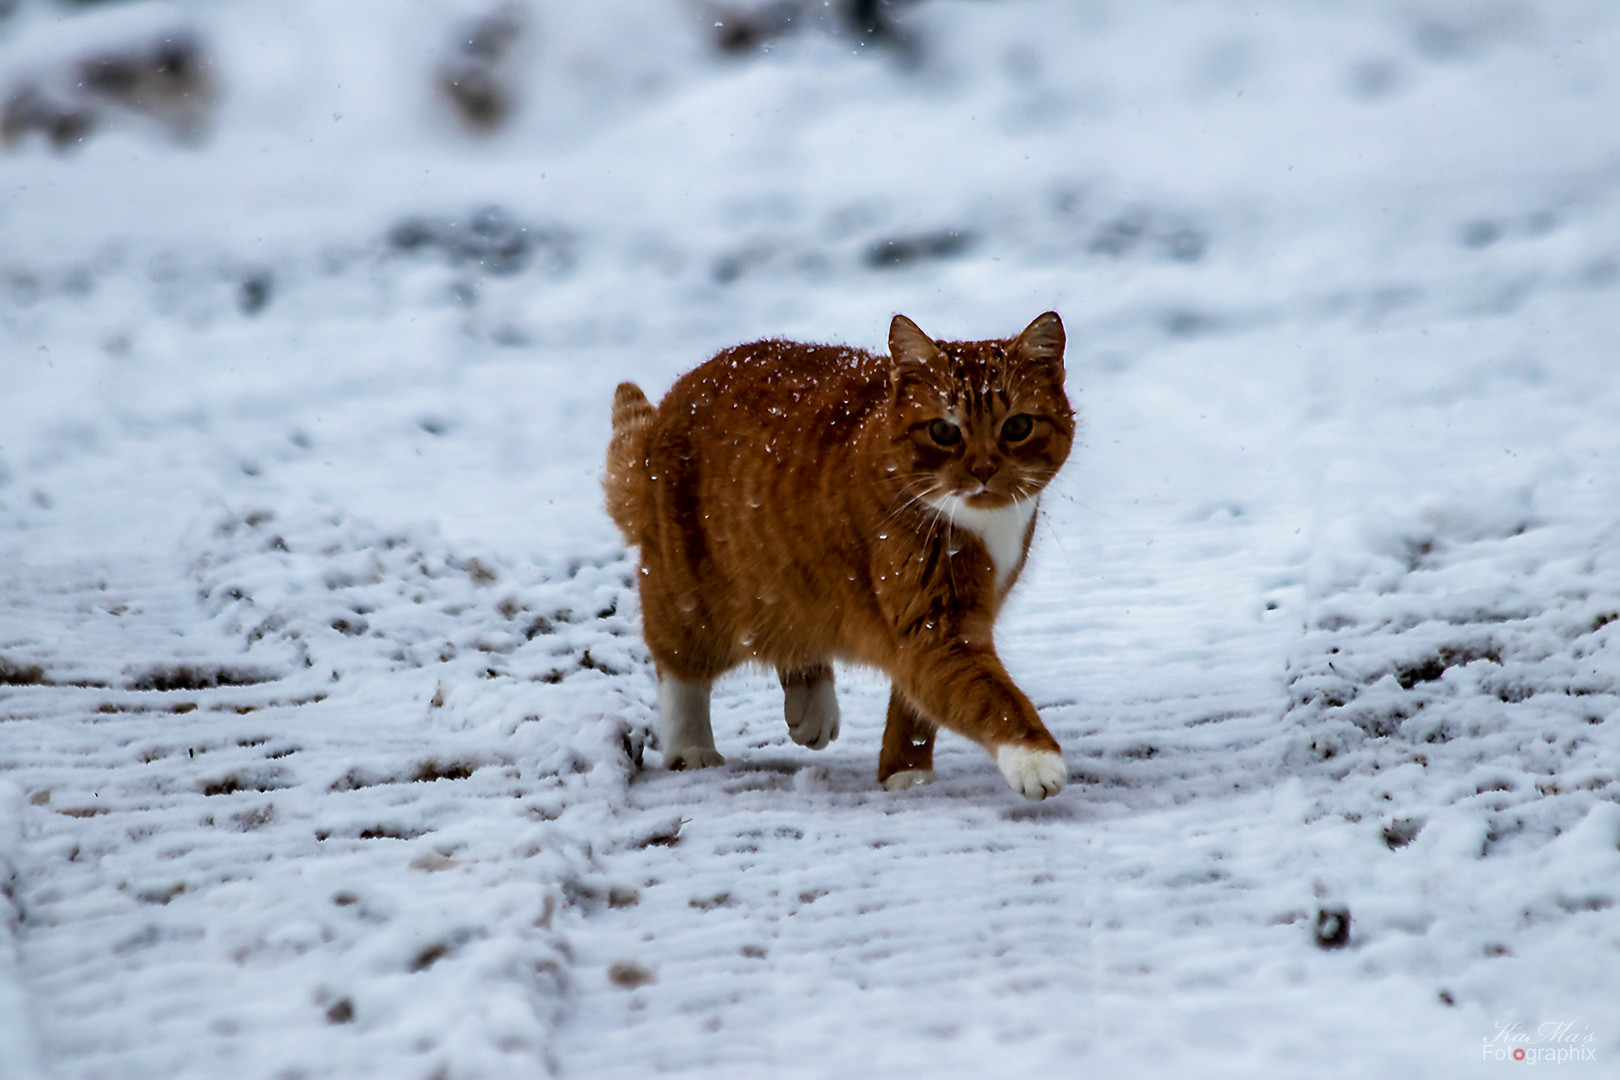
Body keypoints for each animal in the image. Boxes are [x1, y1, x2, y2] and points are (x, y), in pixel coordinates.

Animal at [602, 307, 1069, 799]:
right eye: (943, 430)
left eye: (1017, 426)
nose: (983, 469)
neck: (982, 526)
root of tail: (675, 398)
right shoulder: (936, 628)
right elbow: (990, 695)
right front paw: (1035, 759)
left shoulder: (940, 629)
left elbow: (916, 707)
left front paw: (905, 771)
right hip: (690, 593)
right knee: (678, 663)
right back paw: (691, 746)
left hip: (788, 579)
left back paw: (811, 708)